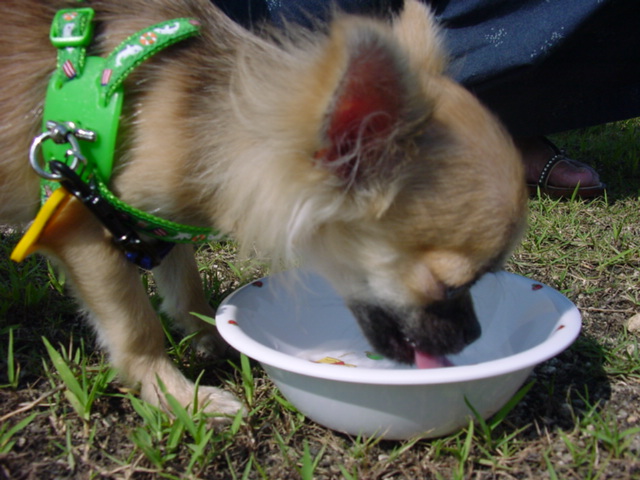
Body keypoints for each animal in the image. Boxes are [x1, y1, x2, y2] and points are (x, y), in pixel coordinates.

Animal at [0, 0, 527, 418]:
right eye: (447, 284)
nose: (473, 334)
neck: (201, 119)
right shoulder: (81, 226)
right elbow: (137, 331)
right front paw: (178, 398)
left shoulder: (163, 223)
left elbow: (185, 285)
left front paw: (209, 336)